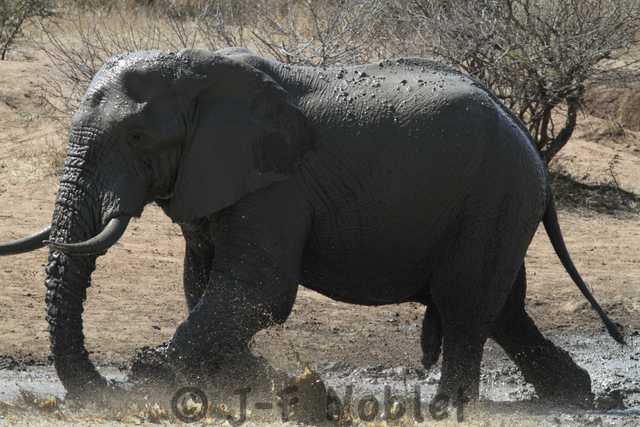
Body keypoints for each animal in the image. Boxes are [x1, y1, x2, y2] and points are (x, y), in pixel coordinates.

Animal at [0, 47, 624, 408]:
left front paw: (150, 372)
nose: (106, 388)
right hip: (499, 202)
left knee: (468, 304)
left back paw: (451, 408)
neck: (198, 70)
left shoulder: (275, 187)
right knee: (503, 310)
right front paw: (247, 378)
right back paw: (576, 397)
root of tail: (524, 134)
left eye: (135, 138)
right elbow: (205, 286)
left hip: (496, 194)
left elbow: (258, 291)